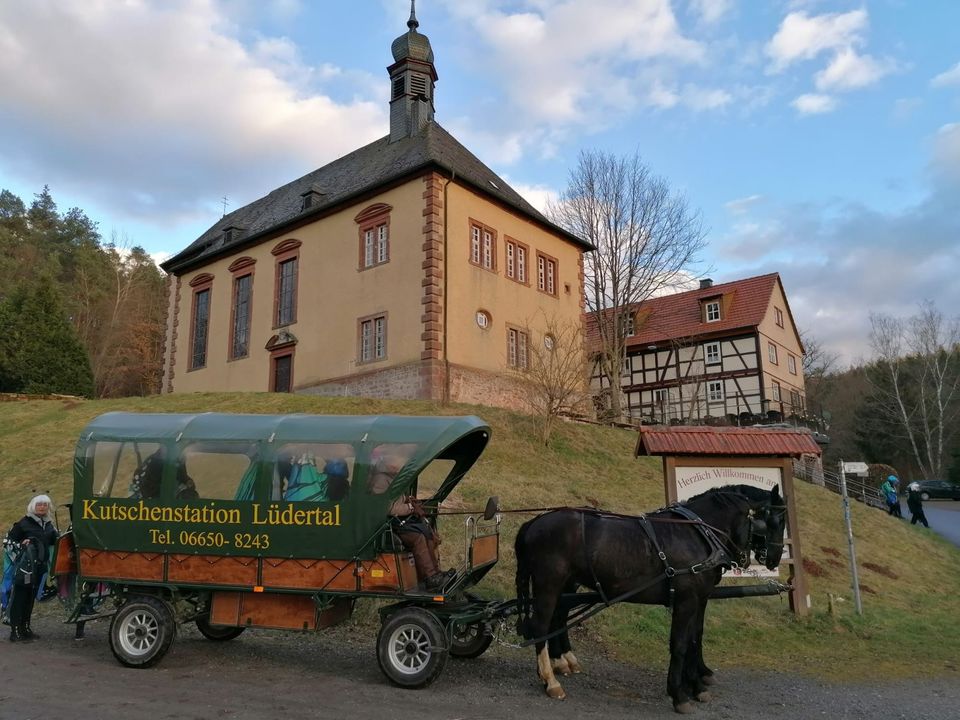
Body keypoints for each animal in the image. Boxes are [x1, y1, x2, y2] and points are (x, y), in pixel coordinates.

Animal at [516, 484, 788, 716]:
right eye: (776, 520)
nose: (774, 558)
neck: (700, 534)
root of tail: (534, 522)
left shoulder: (699, 598)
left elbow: (695, 637)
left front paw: (696, 685)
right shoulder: (687, 600)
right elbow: (680, 644)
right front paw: (679, 694)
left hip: (565, 586)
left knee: (557, 618)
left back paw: (561, 663)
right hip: (549, 585)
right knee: (541, 626)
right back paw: (550, 680)